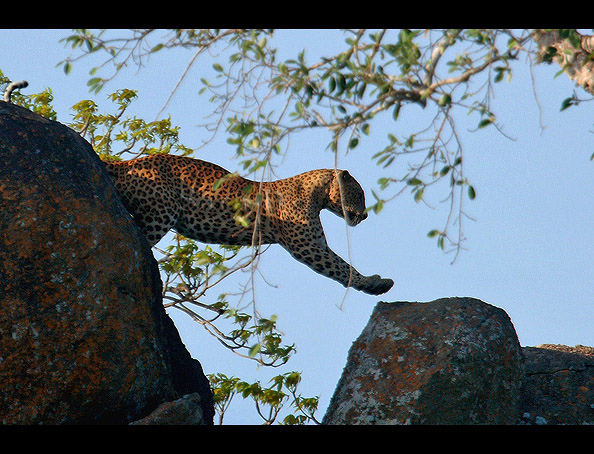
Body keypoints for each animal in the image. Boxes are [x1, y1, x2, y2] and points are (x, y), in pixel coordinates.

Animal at [102, 153, 394, 294]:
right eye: (359, 194)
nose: (365, 215)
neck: (317, 194)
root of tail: (126, 162)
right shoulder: (309, 247)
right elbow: (342, 268)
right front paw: (373, 285)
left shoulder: (317, 244)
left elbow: (343, 265)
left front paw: (374, 282)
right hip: (161, 213)